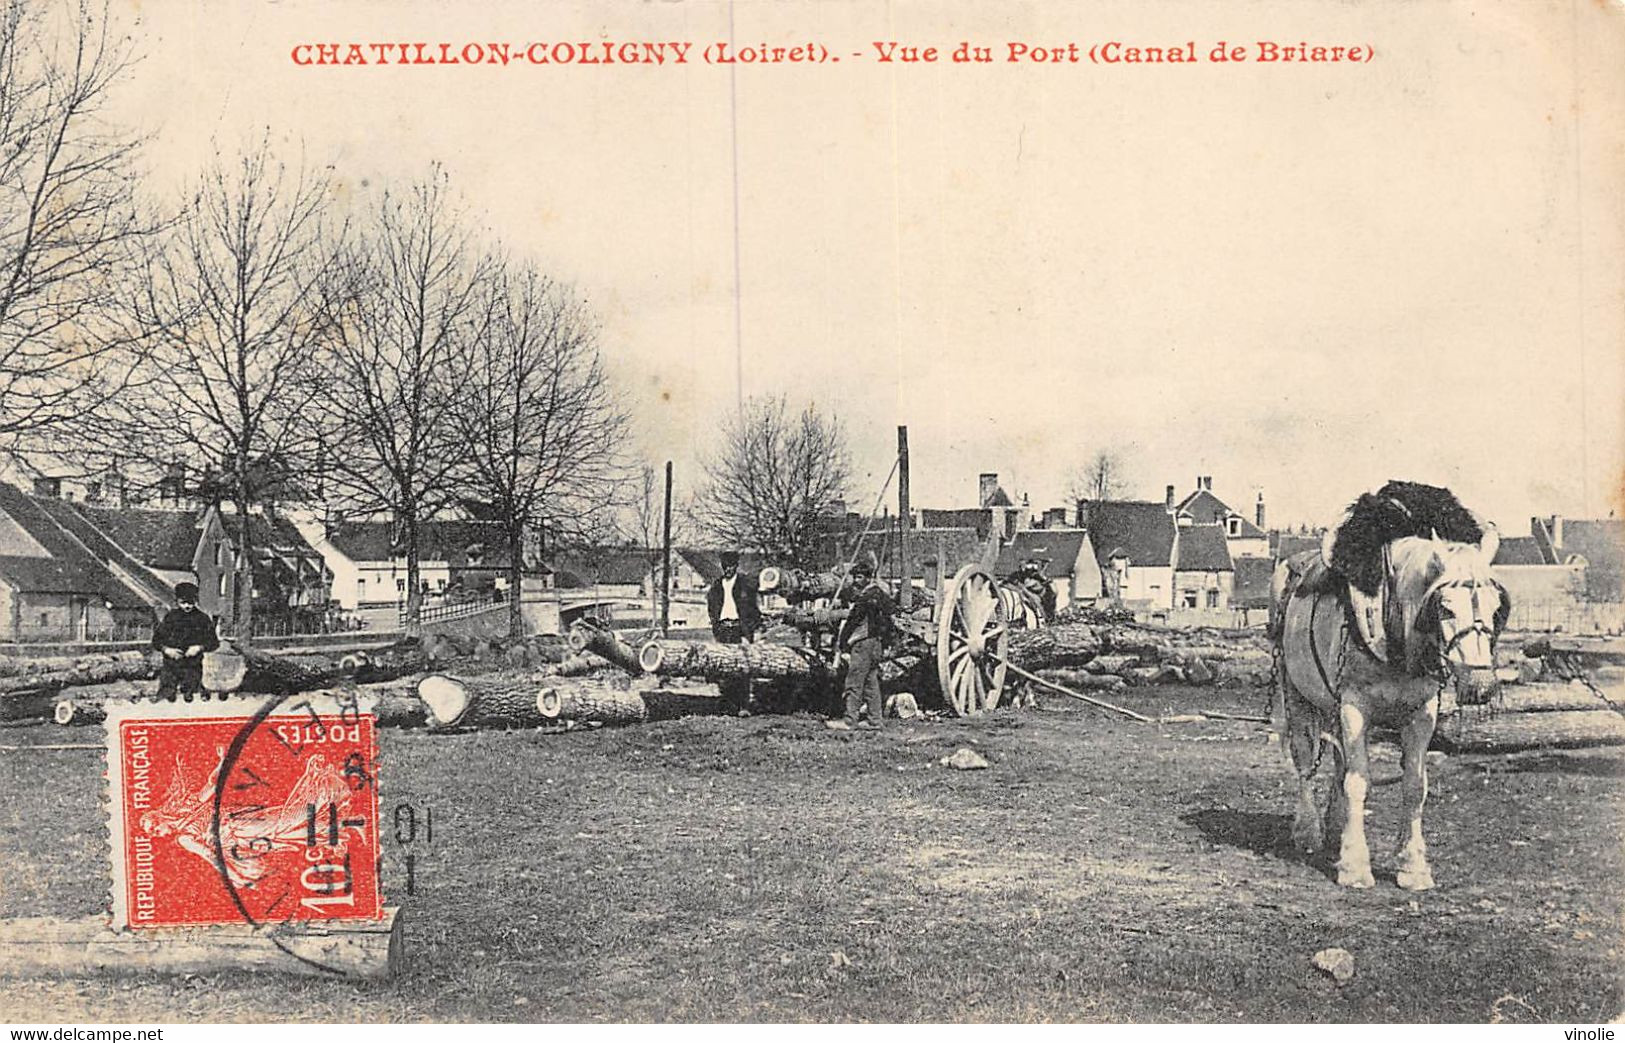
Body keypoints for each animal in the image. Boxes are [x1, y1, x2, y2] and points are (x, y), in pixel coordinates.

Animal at [1267, 536, 1508, 883]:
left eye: (1496, 607)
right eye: (1445, 608)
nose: (1481, 683)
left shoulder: (1422, 714)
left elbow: (1414, 786)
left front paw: (1413, 865)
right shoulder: (1354, 708)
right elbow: (1357, 782)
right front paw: (1355, 866)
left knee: (1339, 763)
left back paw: (1336, 828)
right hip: (1296, 693)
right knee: (1304, 762)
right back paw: (1308, 830)